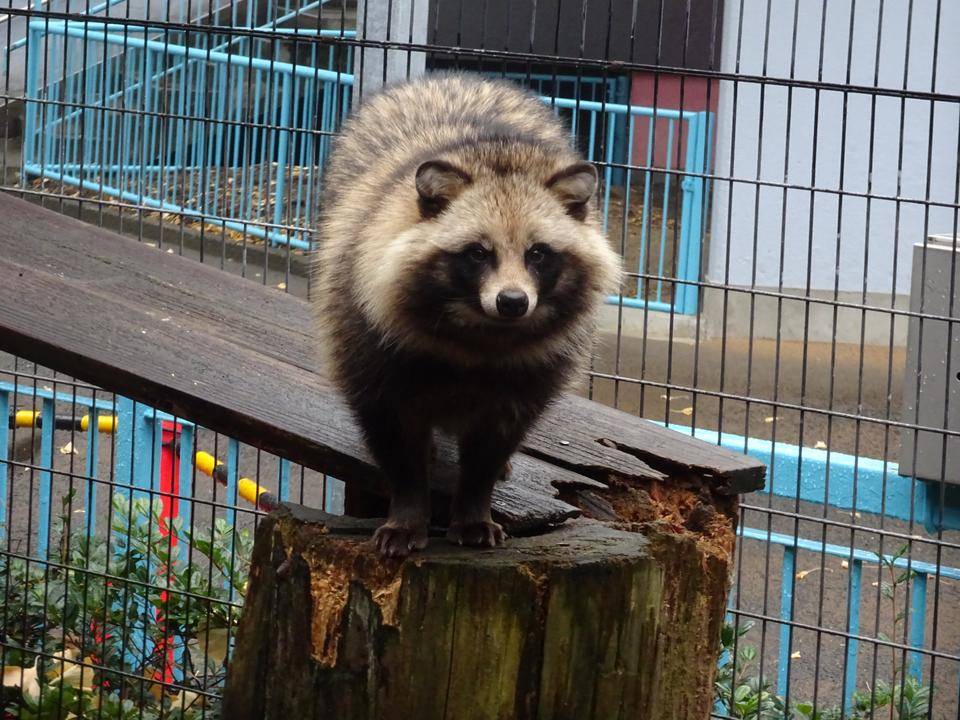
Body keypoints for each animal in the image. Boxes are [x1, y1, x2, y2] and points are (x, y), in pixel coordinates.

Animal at [316, 71, 624, 556]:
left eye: (538, 254)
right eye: (478, 254)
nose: (513, 301)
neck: (482, 332)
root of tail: (460, 76)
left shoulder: (530, 376)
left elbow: (492, 446)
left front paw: (475, 504)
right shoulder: (364, 339)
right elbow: (392, 433)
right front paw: (408, 510)